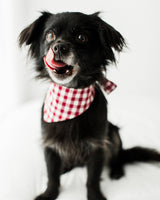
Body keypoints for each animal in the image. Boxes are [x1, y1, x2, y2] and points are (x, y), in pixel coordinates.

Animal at [19, 11, 160, 200]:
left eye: (81, 37)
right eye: (50, 35)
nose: (59, 47)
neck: (71, 97)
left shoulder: (97, 145)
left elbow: (93, 176)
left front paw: (95, 196)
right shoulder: (50, 143)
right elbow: (52, 174)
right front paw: (48, 194)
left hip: (113, 133)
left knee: (118, 157)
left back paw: (116, 170)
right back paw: (65, 167)